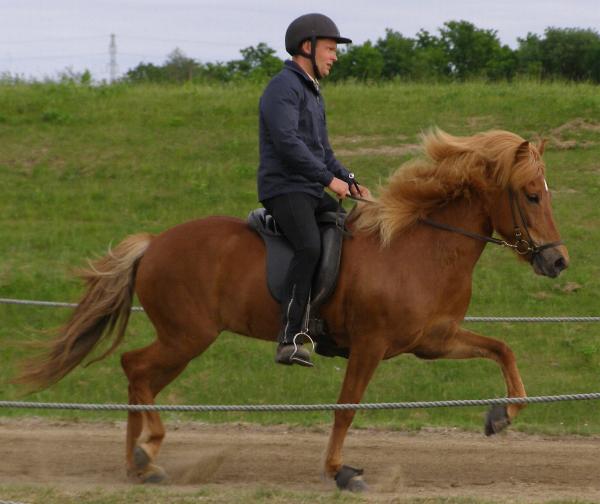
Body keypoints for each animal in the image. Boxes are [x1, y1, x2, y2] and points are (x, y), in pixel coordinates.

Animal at [15, 128, 568, 490]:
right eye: (531, 195)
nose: (557, 261)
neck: (419, 248)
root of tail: (154, 244)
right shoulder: (370, 345)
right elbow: (347, 408)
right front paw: (340, 472)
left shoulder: (433, 339)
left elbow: (502, 349)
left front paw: (501, 415)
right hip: (187, 336)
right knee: (136, 369)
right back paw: (146, 451)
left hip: (183, 339)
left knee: (138, 374)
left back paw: (141, 463)